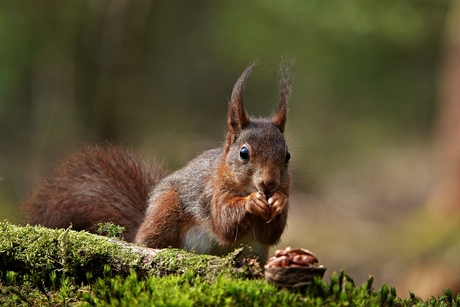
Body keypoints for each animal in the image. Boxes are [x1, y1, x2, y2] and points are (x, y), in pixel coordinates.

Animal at [21, 60, 292, 264]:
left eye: (287, 156)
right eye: (244, 153)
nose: (269, 184)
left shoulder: (263, 234)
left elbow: (269, 234)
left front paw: (279, 202)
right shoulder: (212, 192)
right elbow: (223, 222)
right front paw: (252, 202)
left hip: (255, 251)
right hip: (166, 210)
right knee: (149, 240)